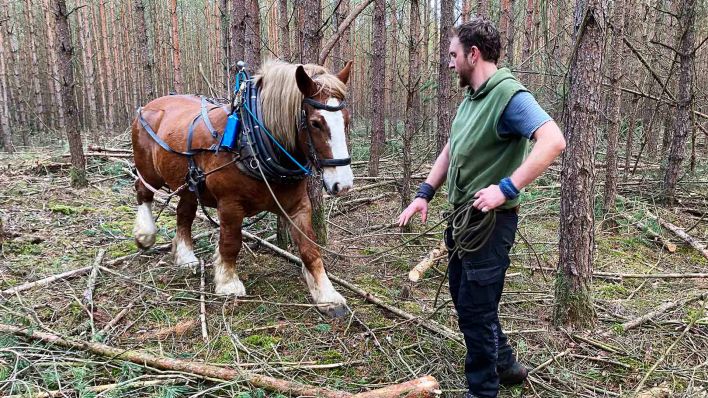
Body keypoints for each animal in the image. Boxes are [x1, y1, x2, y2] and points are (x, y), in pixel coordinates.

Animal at [130, 60, 354, 318]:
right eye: (316, 123)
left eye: (346, 120)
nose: (343, 184)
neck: (251, 141)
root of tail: (149, 106)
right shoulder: (230, 204)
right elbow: (231, 242)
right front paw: (228, 282)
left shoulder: (299, 206)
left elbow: (310, 249)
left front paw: (327, 294)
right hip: (149, 172)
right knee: (143, 191)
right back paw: (145, 234)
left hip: (189, 184)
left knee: (184, 212)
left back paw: (185, 255)